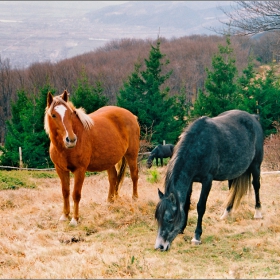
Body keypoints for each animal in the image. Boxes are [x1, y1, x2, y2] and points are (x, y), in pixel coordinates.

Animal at [44, 91, 140, 226]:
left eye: (70, 114)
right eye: (53, 115)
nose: (71, 139)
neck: (64, 149)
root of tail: (131, 116)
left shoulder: (80, 170)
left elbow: (76, 194)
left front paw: (75, 219)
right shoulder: (61, 170)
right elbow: (65, 192)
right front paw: (65, 215)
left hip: (131, 155)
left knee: (134, 175)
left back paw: (135, 199)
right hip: (109, 160)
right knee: (113, 178)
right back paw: (110, 202)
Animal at [154, 110, 264, 252]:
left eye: (170, 220)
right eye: (158, 218)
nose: (159, 246)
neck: (198, 146)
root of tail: (254, 117)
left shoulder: (207, 181)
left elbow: (200, 206)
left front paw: (196, 236)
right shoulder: (190, 180)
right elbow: (186, 204)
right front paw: (182, 229)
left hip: (256, 166)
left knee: (256, 186)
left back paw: (258, 213)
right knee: (231, 191)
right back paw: (226, 214)